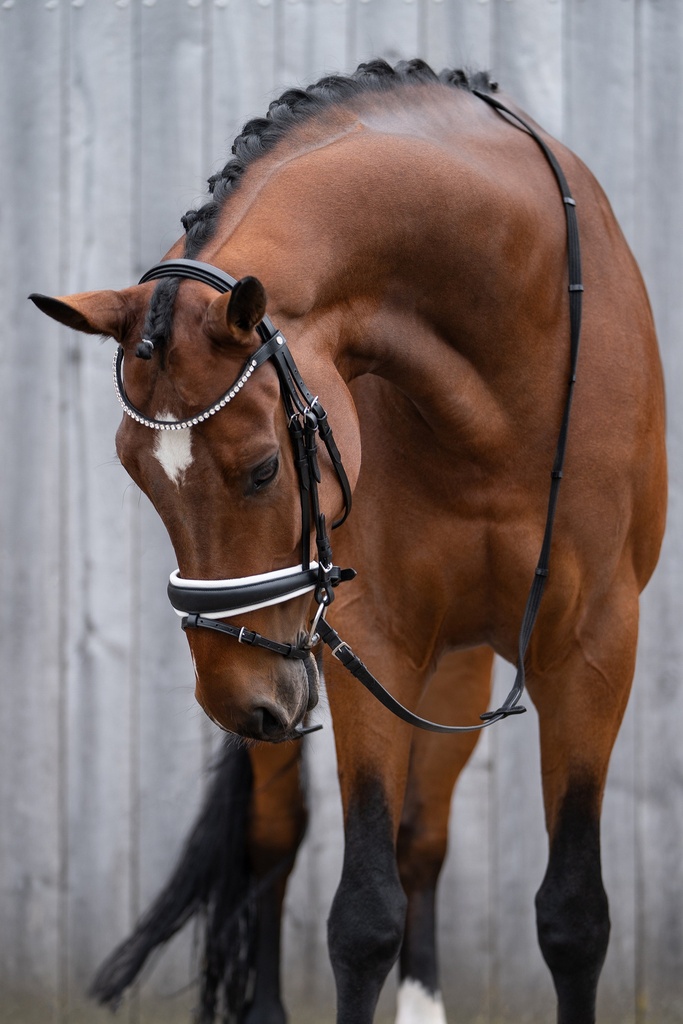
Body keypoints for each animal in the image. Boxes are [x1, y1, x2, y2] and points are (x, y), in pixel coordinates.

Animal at [30, 58, 666, 1024]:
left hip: (443, 659)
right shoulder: (372, 639)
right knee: (273, 840)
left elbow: (572, 915)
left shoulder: (593, 646)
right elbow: (362, 915)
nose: (238, 701)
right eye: (133, 471)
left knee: (423, 835)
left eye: (262, 468)